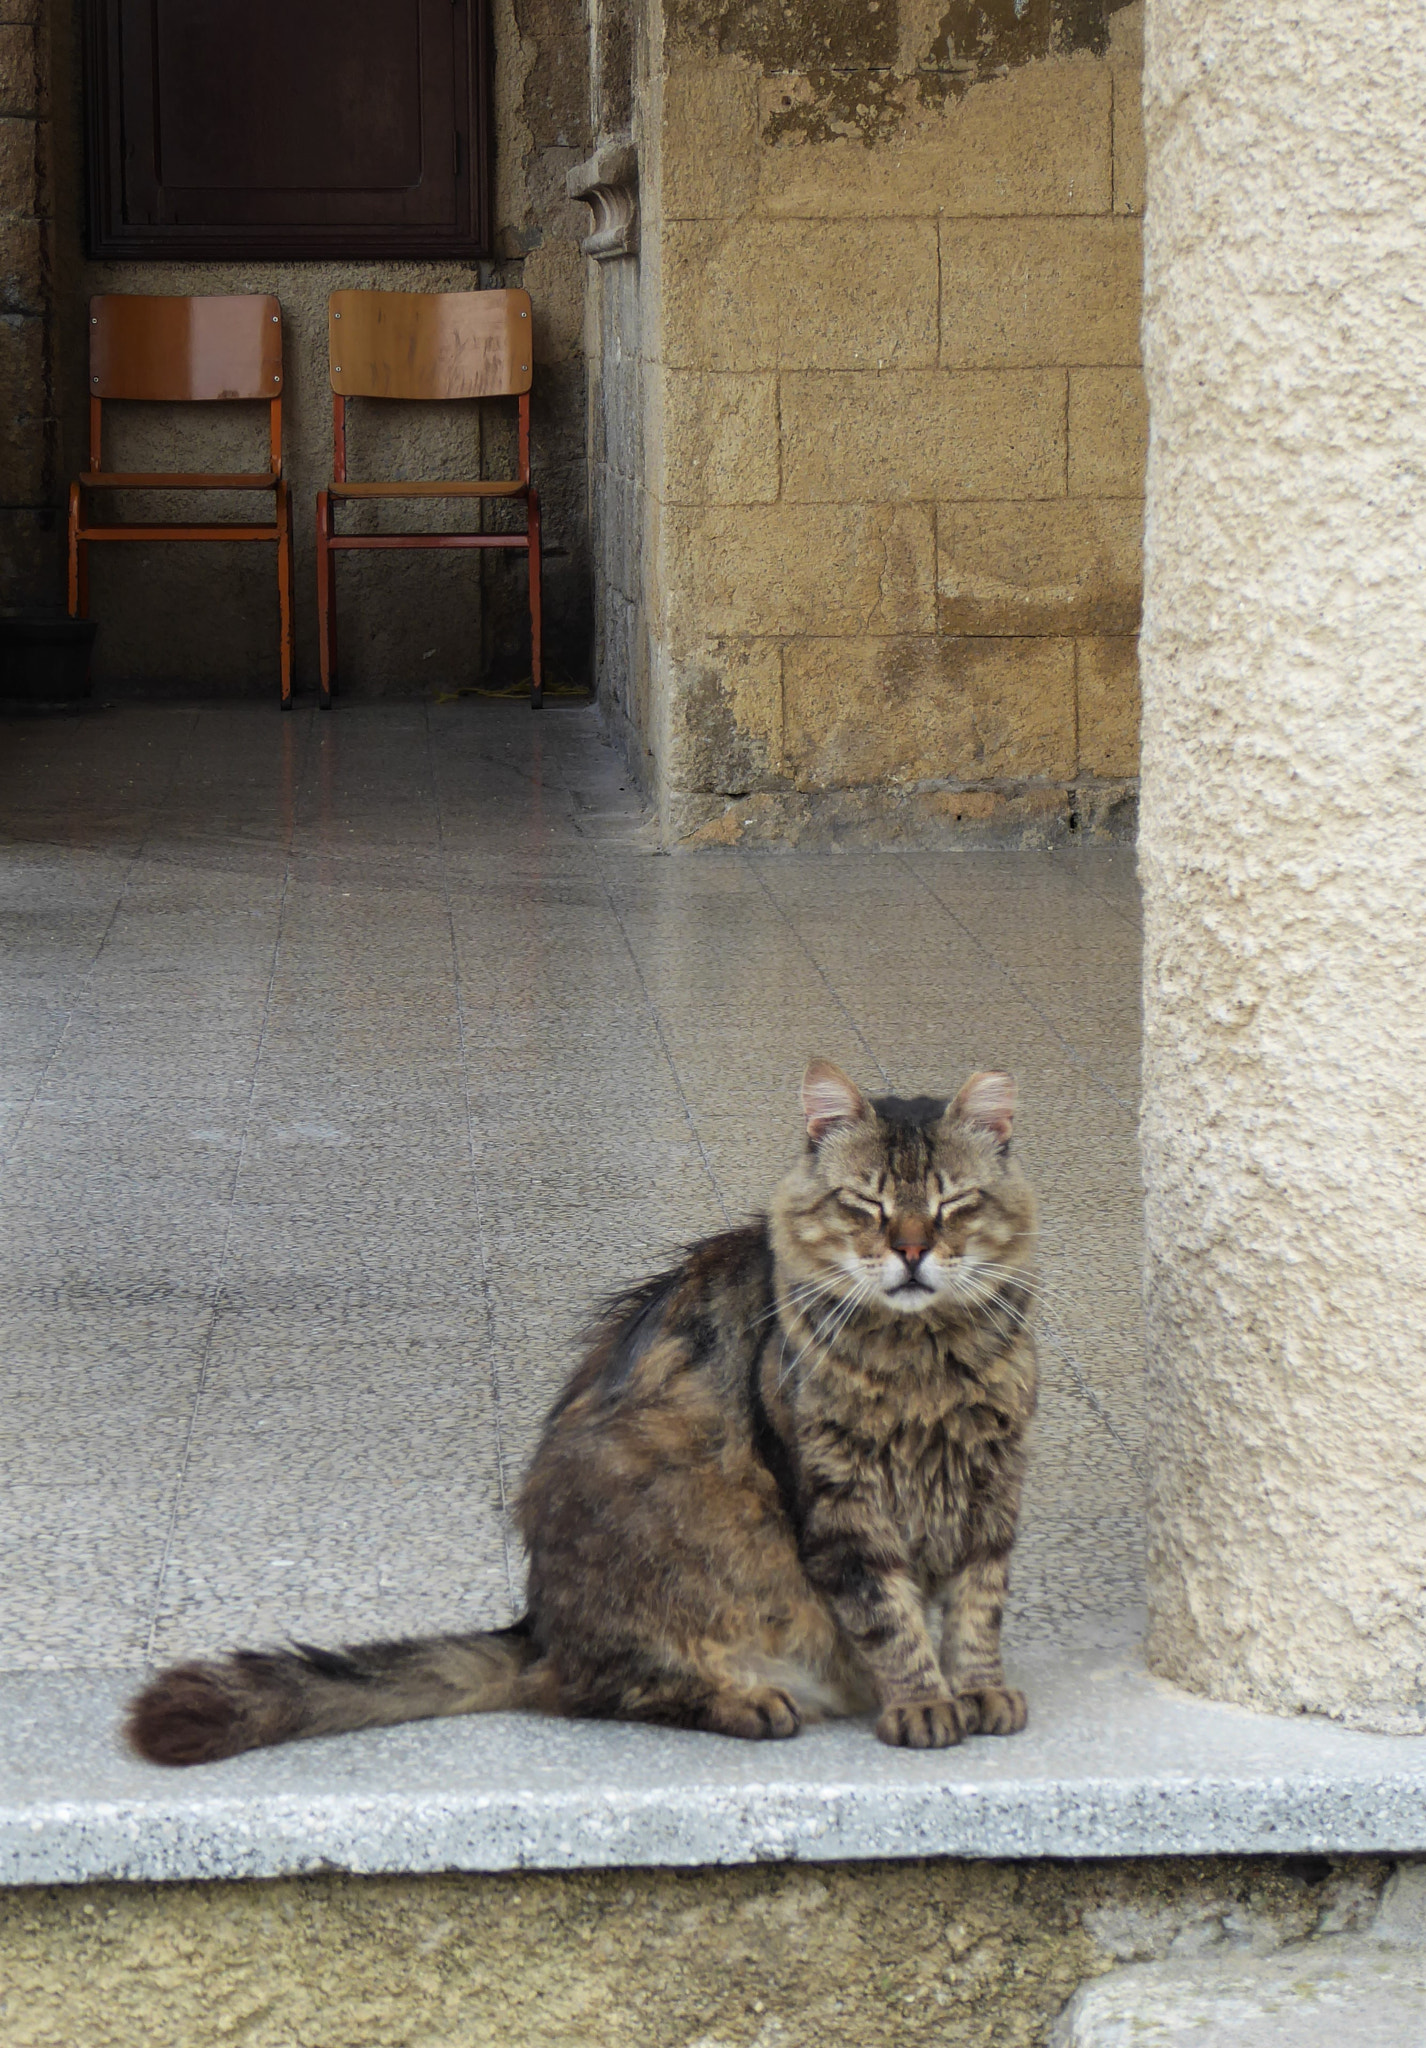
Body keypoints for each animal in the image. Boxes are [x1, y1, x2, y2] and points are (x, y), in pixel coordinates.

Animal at [125, 1056, 1036, 1761]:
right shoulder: (841, 1504)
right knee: (601, 1690)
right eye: (867, 1205)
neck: (925, 1367)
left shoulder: (992, 1491)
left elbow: (974, 1611)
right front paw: (924, 1704)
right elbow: (892, 1619)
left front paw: (979, 1692)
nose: (911, 1251)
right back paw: (750, 1701)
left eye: (953, 1205)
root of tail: (535, 1624)